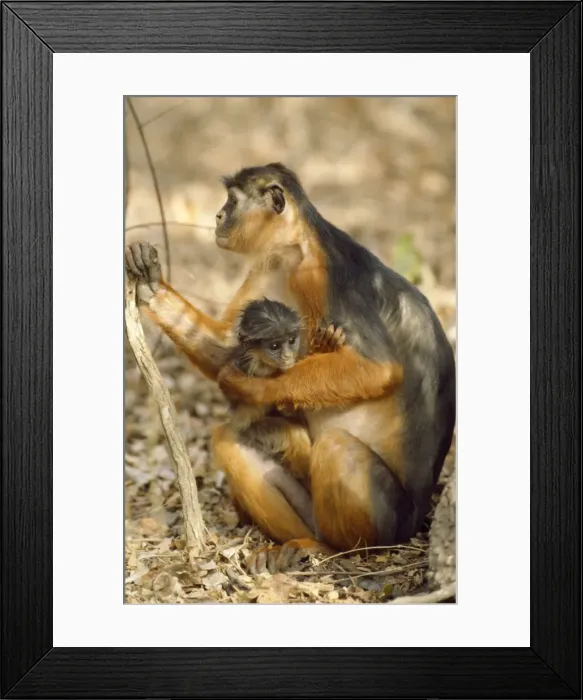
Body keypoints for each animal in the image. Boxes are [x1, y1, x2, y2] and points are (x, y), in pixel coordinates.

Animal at [125, 162, 455, 574]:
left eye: (232, 202)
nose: (218, 216)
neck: (299, 244)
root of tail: (419, 517)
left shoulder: (317, 274)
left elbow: (379, 370)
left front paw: (249, 389)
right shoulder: (273, 264)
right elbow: (230, 348)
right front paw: (150, 284)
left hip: (391, 521)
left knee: (336, 447)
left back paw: (332, 550)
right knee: (230, 440)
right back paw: (300, 541)